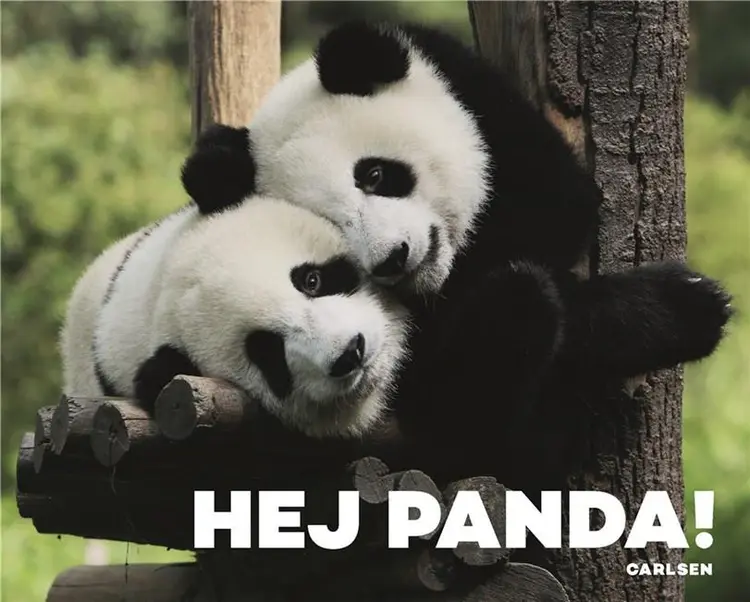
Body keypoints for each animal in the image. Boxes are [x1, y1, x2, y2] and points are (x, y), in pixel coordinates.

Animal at [178, 21, 733, 482]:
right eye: (332, 226)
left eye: (374, 174)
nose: (393, 258)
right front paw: (684, 307)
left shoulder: (482, 104)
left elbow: (559, 212)